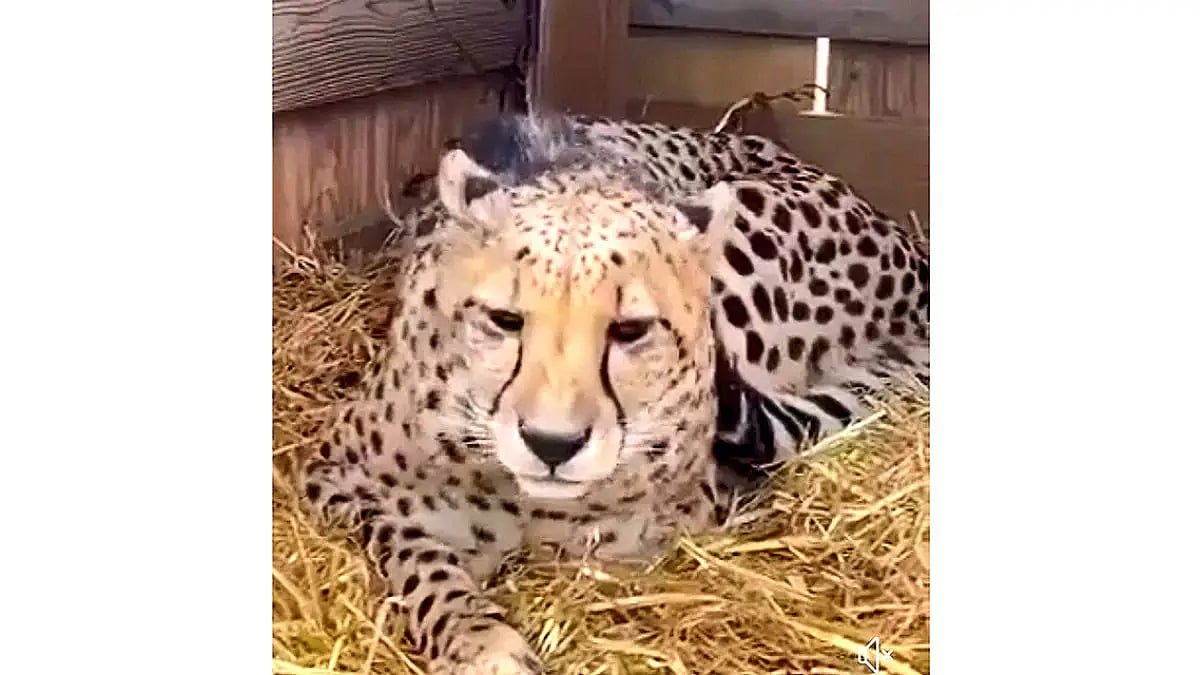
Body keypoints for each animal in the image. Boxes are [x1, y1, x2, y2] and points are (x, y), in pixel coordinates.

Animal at [298, 112, 930, 674]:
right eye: (506, 320)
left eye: (630, 330)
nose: (552, 444)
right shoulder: (332, 477)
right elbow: (414, 549)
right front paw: (479, 643)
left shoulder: (682, 511)